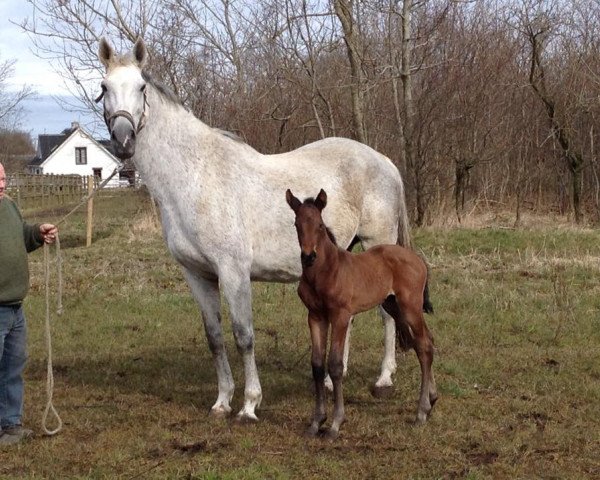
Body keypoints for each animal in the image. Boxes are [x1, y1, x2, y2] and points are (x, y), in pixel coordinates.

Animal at [97, 37, 412, 420]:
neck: (197, 176)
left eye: (141, 87)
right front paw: (222, 402)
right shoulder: (197, 274)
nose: (123, 140)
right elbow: (215, 337)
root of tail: (385, 162)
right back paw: (329, 381)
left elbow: (243, 335)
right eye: (104, 87)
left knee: (386, 312)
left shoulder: (233, 271)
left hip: (376, 243)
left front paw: (249, 404)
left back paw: (384, 380)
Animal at [286, 188, 436, 438]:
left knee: (424, 345)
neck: (326, 271)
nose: (308, 256)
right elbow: (317, 364)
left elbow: (335, 365)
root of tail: (418, 260)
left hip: (411, 306)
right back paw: (432, 399)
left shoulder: (340, 316)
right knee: (426, 342)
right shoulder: (315, 316)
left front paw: (335, 424)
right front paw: (316, 422)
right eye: (296, 224)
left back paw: (421, 412)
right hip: (392, 305)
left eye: (320, 225)